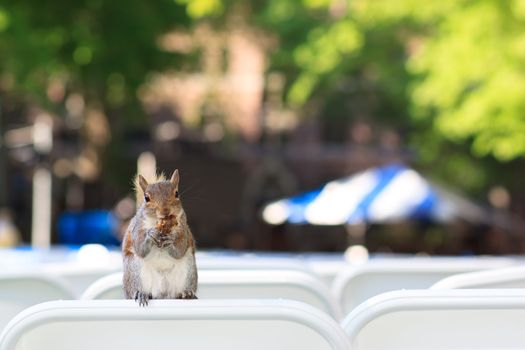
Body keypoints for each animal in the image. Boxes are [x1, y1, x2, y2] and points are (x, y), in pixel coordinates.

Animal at [122, 170, 198, 306]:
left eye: (176, 193)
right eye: (146, 198)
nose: (165, 211)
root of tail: (163, 294)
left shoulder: (183, 228)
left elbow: (180, 249)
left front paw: (170, 242)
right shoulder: (137, 227)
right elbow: (140, 248)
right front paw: (151, 234)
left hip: (189, 269)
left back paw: (187, 294)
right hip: (133, 271)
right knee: (137, 291)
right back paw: (141, 294)